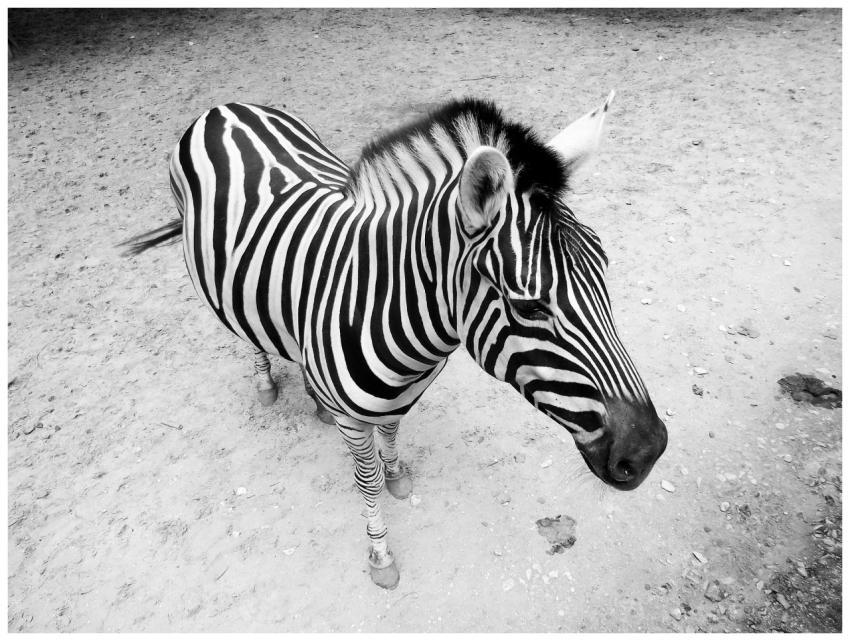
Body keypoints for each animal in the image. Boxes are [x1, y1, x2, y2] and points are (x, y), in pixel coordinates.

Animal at [124, 91, 668, 589]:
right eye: (530, 306)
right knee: (245, 332)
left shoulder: (405, 394)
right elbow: (365, 483)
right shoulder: (355, 419)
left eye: (604, 267)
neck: (402, 323)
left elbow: (390, 431)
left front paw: (397, 473)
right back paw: (265, 383)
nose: (649, 451)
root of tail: (224, 108)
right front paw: (380, 554)